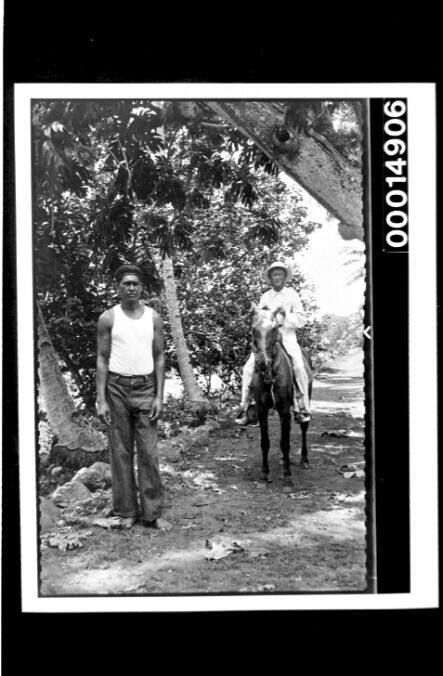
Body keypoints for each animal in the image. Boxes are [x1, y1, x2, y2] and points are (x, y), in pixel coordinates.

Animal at [251, 306, 314, 480]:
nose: (262, 362)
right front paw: (265, 473)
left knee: (304, 427)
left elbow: (284, 442)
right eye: (253, 329)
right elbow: (265, 441)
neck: (270, 374)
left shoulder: (284, 409)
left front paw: (287, 475)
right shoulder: (261, 410)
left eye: (274, 329)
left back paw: (304, 460)